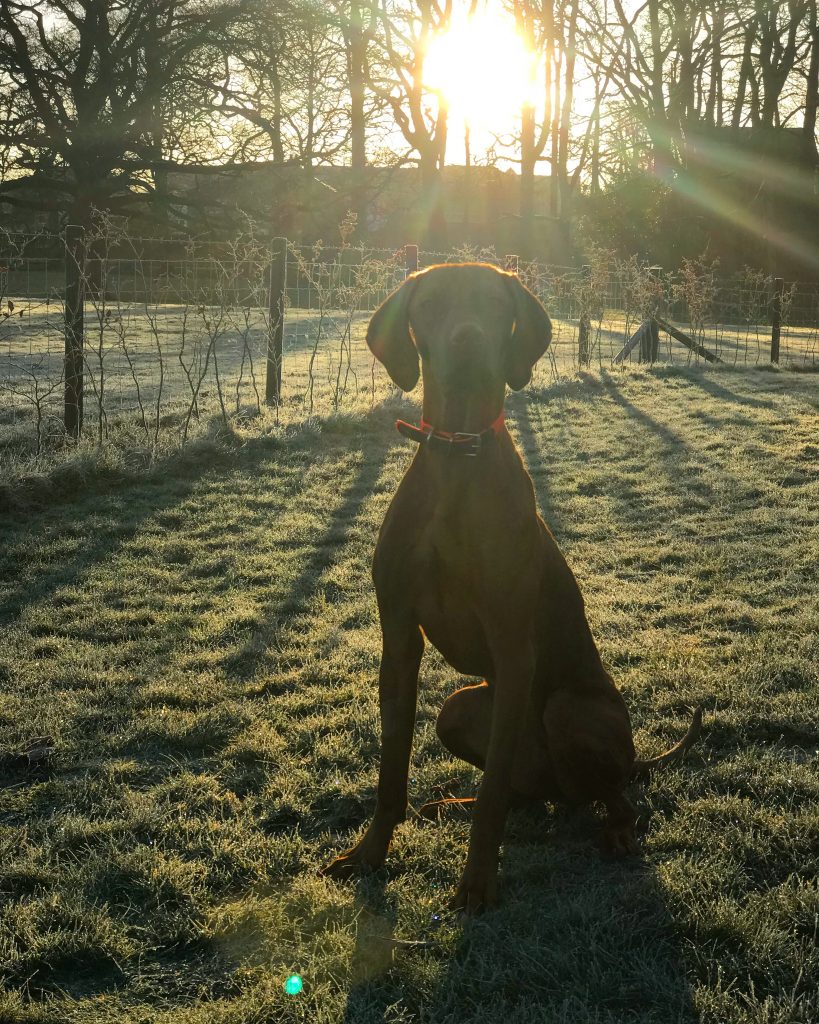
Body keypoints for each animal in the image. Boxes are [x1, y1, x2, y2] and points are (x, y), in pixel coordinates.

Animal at [319, 262, 696, 913]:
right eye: (432, 304)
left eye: (496, 305)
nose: (467, 341)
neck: (457, 456)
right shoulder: (399, 638)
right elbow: (392, 769)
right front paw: (369, 853)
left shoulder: (515, 648)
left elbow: (493, 791)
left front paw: (477, 881)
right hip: (459, 710)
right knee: (528, 790)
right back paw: (458, 802)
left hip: (571, 712)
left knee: (611, 792)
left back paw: (618, 828)